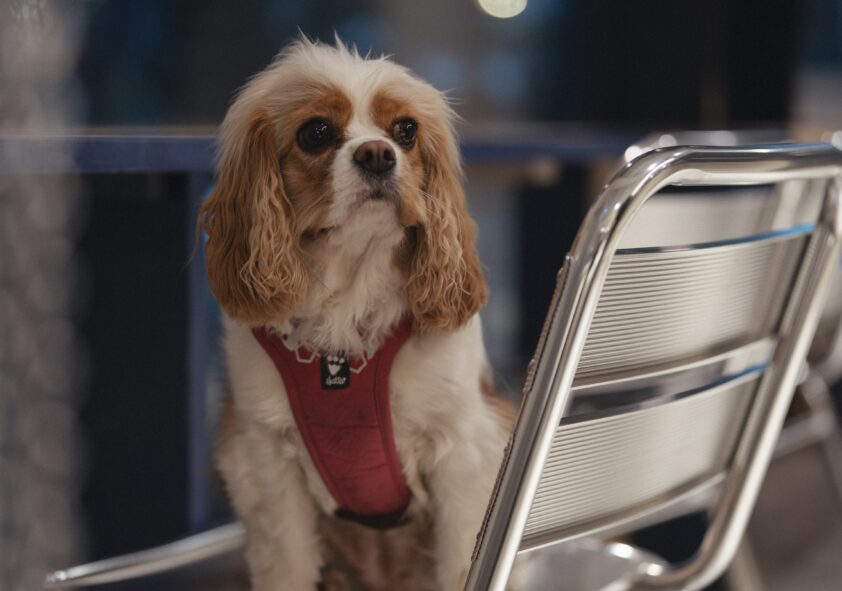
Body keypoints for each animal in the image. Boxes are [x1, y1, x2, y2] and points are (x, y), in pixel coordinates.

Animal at [199, 38, 514, 591]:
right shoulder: (265, 459)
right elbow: (287, 563)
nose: (377, 154)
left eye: (406, 130)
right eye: (316, 132)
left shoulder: (465, 448)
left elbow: (463, 560)